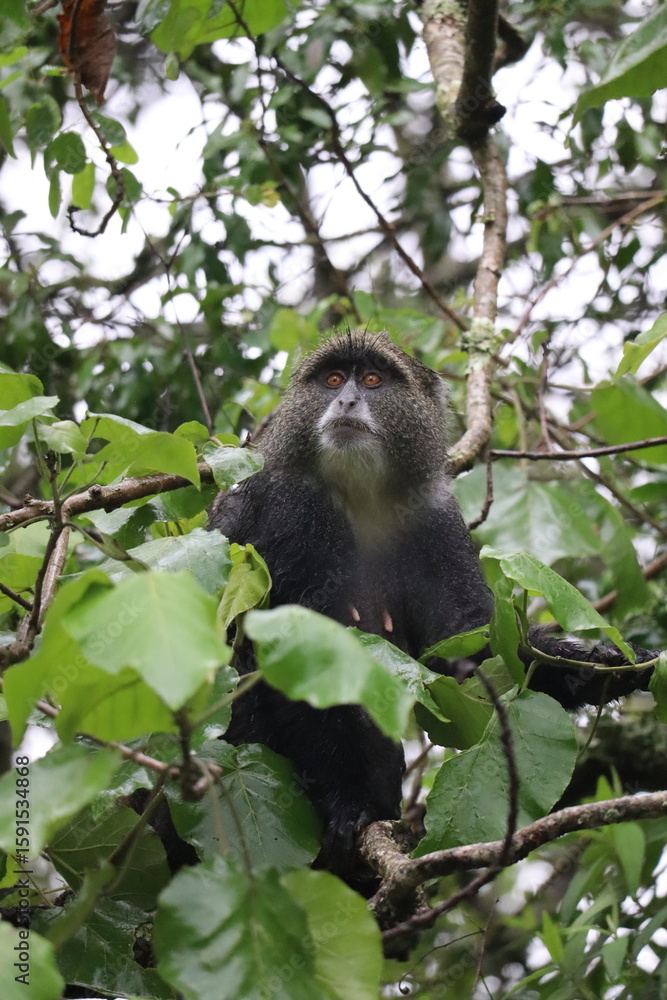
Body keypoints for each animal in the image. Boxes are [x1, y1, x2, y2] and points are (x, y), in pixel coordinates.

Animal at [208, 330, 656, 873]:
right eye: (333, 379)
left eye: (372, 380)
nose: (347, 400)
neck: (362, 496)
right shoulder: (288, 509)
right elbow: (292, 659)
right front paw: (346, 803)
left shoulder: (434, 517)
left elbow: (465, 648)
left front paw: (605, 666)